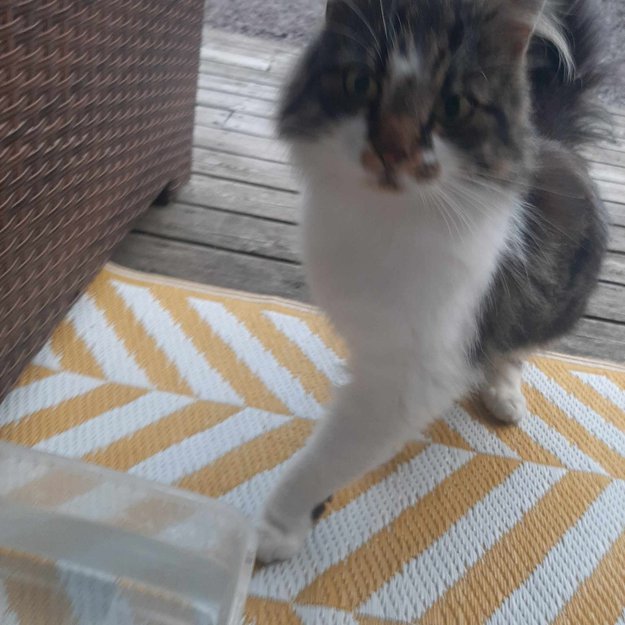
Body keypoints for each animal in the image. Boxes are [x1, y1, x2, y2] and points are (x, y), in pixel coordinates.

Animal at [257, 0, 609, 563]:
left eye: (453, 105)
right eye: (361, 83)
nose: (391, 150)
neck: (387, 222)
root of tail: (550, 140)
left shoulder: (416, 374)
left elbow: (332, 453)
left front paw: (275, 529)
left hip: (553, 304)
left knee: (516, 346)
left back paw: (503, 392)